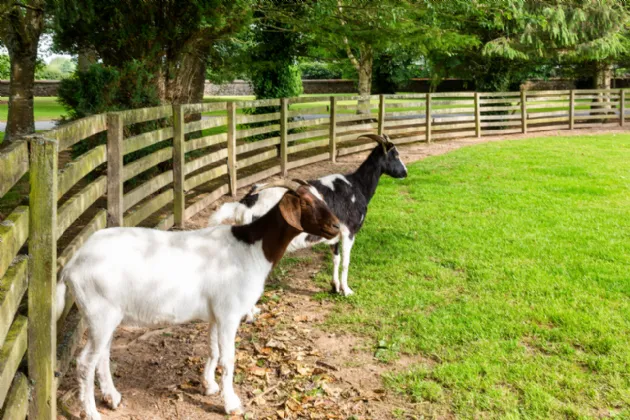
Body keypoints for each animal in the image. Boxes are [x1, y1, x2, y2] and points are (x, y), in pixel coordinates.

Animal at [56, 179, 340, 418]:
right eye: (306, 202)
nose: (336, 226)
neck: (250, 248)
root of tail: (72, 263)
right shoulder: (229, 314)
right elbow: (228, 359)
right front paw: (231, 404)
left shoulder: (217, 313)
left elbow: (213, 350)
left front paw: (209, 386)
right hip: (100, 314)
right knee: (85, 362)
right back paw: (92, 412)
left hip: (106, 317)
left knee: (102, 355)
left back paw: (112, 397)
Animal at [209, 135, 410, 298]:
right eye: (395, 155)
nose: (405, 173)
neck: (356, 186)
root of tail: (245, 202)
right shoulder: (349, 232)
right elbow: (346, 262)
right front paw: (347, 290)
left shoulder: (335, 233)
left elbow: (336, 259)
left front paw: (335, 287)